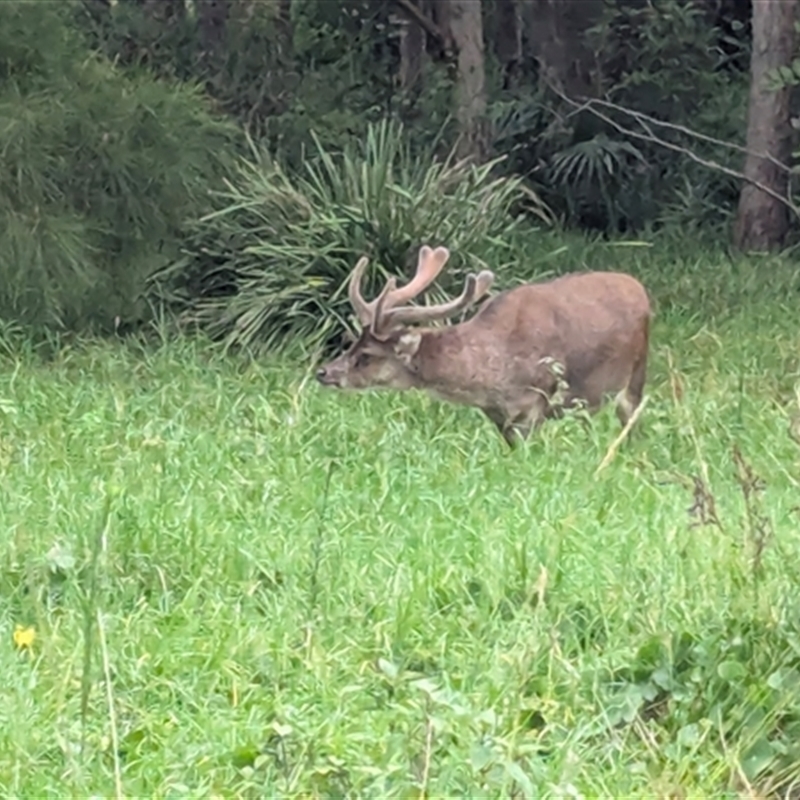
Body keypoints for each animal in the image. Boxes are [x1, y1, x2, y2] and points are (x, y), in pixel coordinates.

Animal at [314, 244, 648, 446]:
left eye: (367, 355)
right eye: (351, 343)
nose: (324, 372)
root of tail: (640, 289)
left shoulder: (534, 402)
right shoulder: (498, 415)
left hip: (636, 371)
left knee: (628, 414)